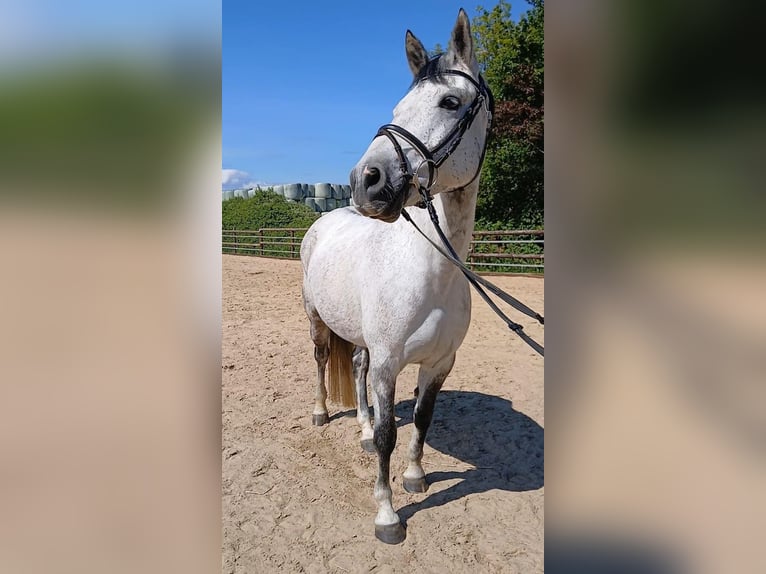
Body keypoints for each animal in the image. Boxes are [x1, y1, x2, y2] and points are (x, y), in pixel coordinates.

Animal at [300, 9, 493, 544]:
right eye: (398, 105)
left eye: (450, 101)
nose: (366, 180)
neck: (432, 274)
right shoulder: (390, 365)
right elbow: (391, 432)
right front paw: (387, 514)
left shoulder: (439, 364)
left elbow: (422, 419)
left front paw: (414, 477)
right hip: (317, 321)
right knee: (323, 362)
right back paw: (322, 413)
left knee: (357, 370)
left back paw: (362, 430)